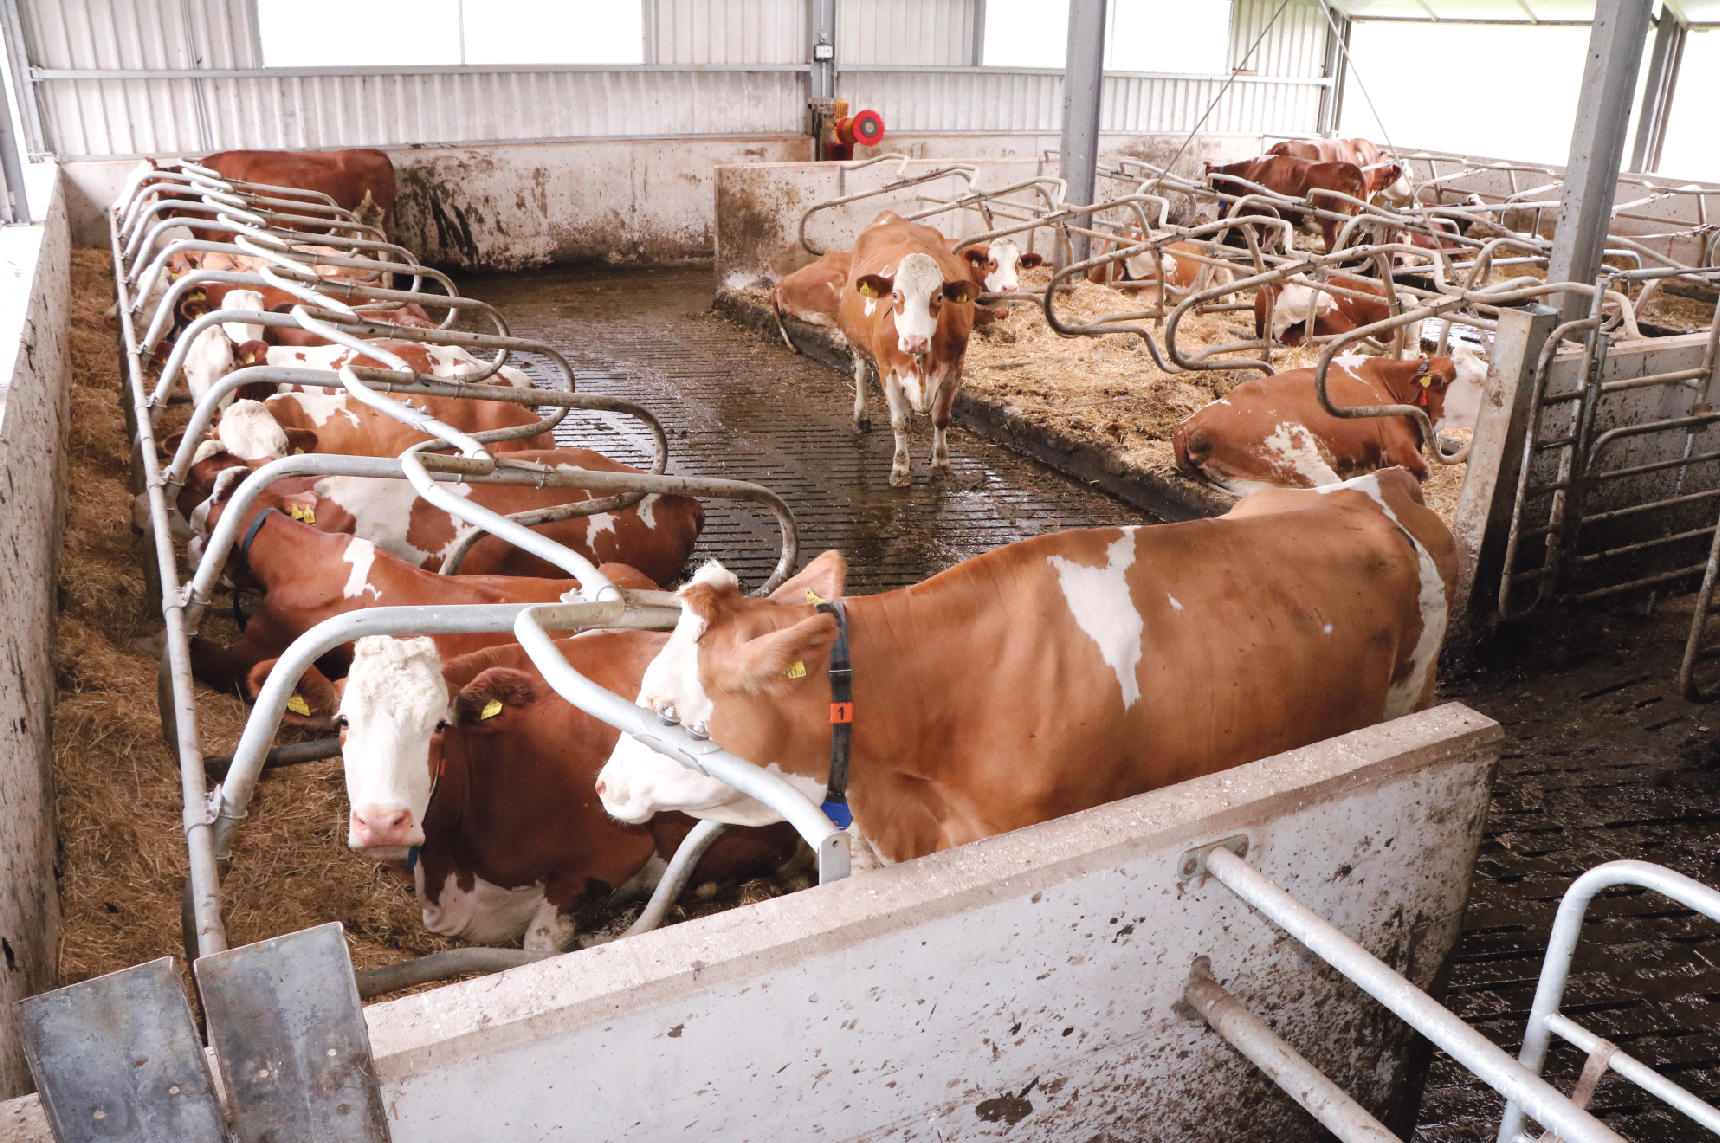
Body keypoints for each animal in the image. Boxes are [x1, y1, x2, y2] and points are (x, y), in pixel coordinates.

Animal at [835, 209, 976, 484]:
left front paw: (940, 462)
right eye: (896, 295)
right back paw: (861, 416)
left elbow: (941, 418)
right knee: (860, 373)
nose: (915, 341)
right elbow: (898, 421)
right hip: (858, 343)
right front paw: (900, 467)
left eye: (939, 297)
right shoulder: (888, 369)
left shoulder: (955, 367)